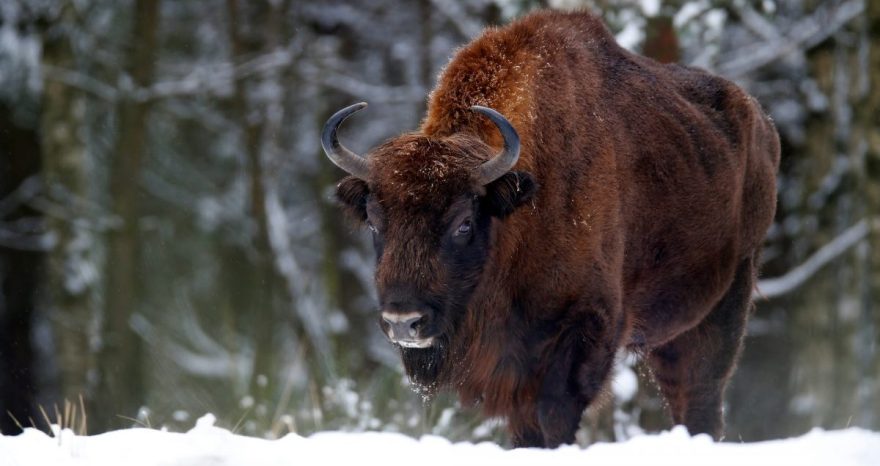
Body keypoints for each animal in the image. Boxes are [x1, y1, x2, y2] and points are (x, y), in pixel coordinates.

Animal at [322, 10, 776, 448]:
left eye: (464, 223)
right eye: (375, 222)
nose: (404, 321)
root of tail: (762, 123)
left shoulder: (583, 332)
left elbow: (556, 415)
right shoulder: (513, 367)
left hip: (723, 306)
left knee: (701, 396)